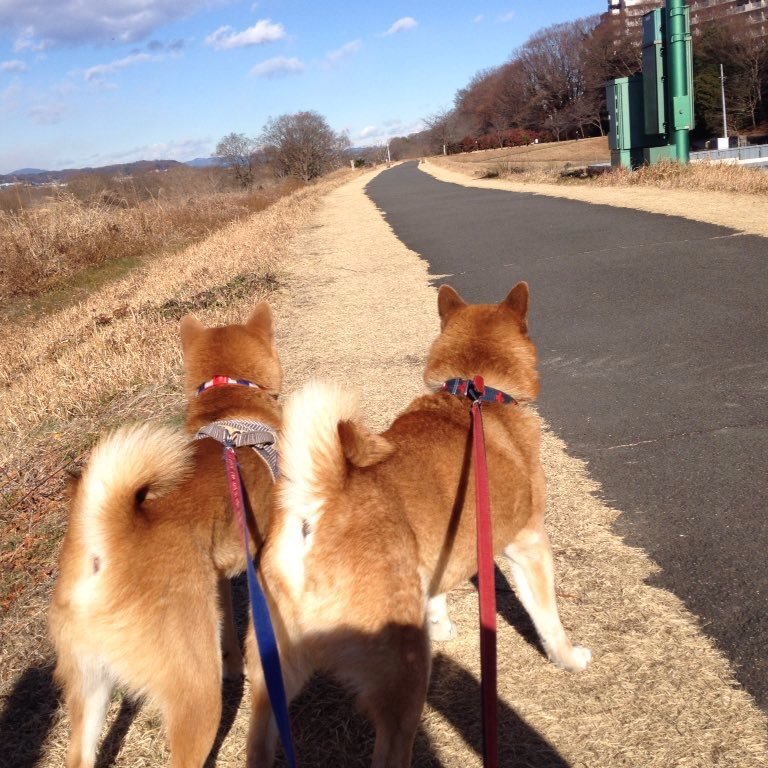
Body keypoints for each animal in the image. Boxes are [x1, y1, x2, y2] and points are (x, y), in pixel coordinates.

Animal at [249, 282, 592, 768]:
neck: (477, 395)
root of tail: (321, 500)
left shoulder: (439, 546)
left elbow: (438, 594)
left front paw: (443, 624)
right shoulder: (528, 546)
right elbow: (548, 620)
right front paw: (568, 659)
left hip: (273, 675)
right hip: (404, 679)